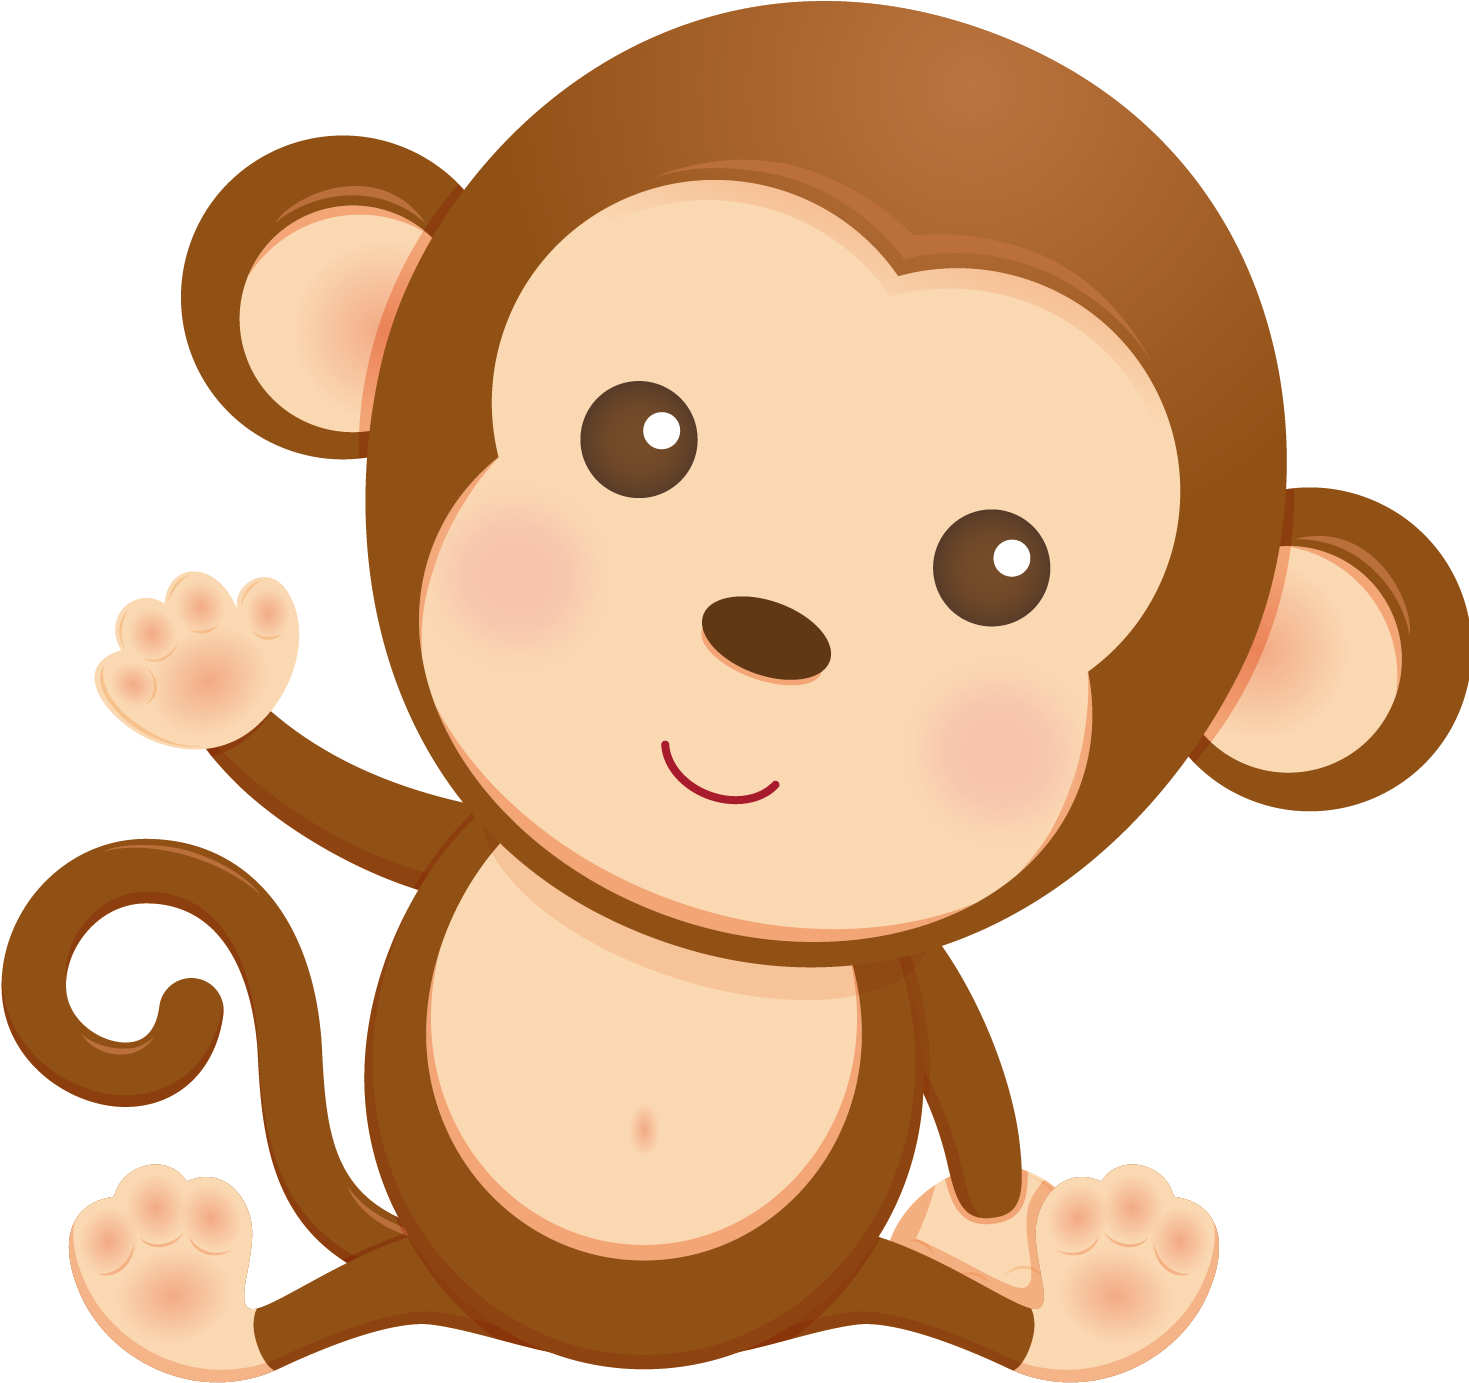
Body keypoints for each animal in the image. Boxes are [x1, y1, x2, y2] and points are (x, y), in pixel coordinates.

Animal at [5, 9, 1465, 1381]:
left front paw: (998, 1227)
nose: (766, 632)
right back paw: (179, 1294)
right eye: (639, 432)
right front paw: (206, 671)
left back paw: (1097, 1293)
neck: (674, 931)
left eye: (1002, 565)